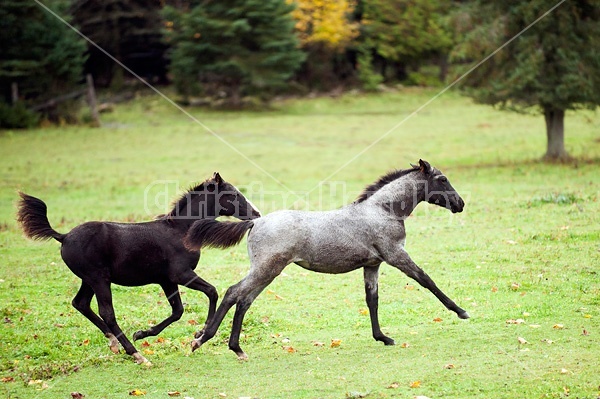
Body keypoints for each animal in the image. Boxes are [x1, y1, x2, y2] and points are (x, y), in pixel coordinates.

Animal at [186, 161, 468, 360]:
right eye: (442, 179)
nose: (460, 204)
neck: (383, 211)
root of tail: (256, 222)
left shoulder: (372, 265)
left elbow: (372, 300)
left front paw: (383, 337)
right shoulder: (396, 255)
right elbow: (426, 280)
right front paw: (461, 311)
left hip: (267, 271)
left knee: (244, 300)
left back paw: (235, 348)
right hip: (267, 268)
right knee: (234, 293)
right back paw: (202, 339)